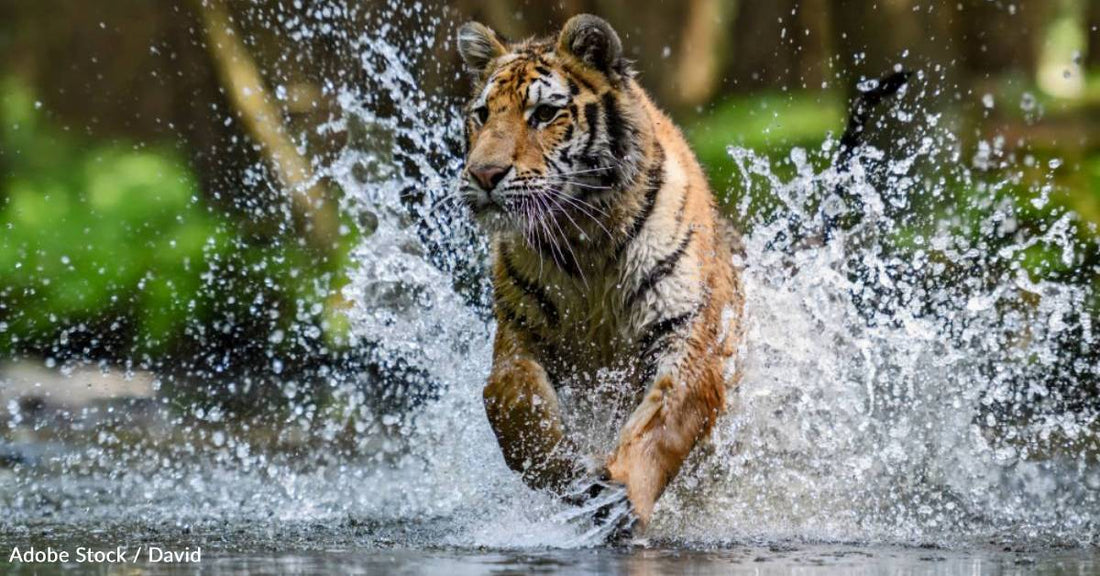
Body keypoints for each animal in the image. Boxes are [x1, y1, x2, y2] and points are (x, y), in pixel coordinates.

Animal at [456, 14, 744, 536]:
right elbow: (515, 410)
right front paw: (571, 475)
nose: (484, 175)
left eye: (544, 114)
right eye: (482, 114)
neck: (583, 238)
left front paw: (619, 499)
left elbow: (660, 424)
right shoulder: (517, 338)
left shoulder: (687, 341)